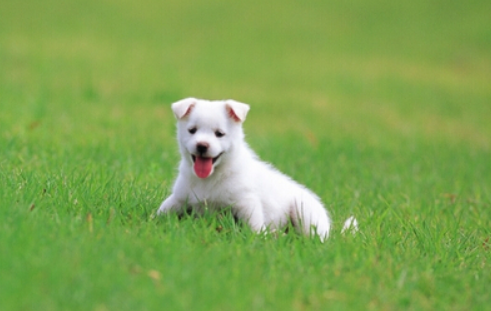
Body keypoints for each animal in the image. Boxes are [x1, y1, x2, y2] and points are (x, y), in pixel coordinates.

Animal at [159, 97, 334, 241]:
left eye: (219, 134)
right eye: (192, 130)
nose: (202, 145)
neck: (211, 177)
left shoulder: (247, 202)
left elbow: (254, 227)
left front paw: (259, 237)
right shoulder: (180, 197)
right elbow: (162, 210)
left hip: (305, 213)